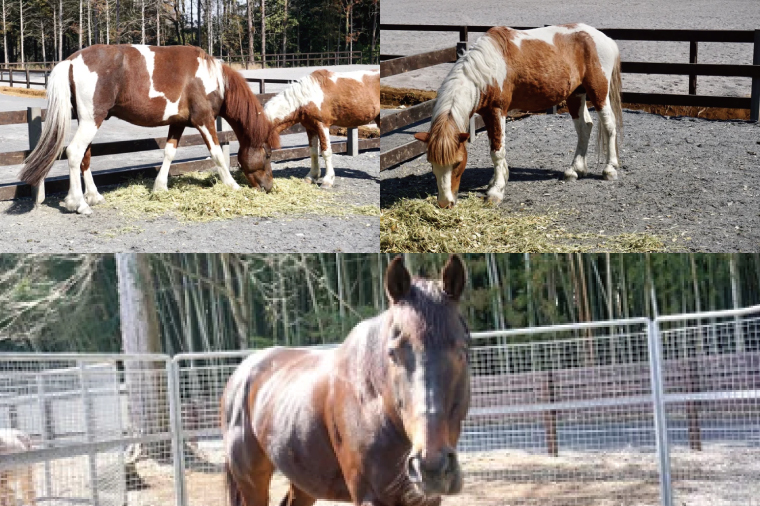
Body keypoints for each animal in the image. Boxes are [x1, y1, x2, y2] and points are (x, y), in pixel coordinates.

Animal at [19, 44, 280, 215]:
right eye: (267, 154)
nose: (269, 188)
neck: (212, 78)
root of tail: (72, 60)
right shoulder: (203, 119)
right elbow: (216, 153)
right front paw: (232, 185)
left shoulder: (178, 122)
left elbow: (169, 153)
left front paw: (160, 187)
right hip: (91, 120)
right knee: (74, 153)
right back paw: (79, 204)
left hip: (89, 120)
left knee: (85, 157)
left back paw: (93, 197)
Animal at [221, 255, 471, 506]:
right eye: (392, 353)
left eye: (462, 350)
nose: (431, 468)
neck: (374, 404)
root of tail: (241, 374)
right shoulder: (368, 495)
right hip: (252, 482)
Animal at [414, 24, 623, 208]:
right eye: (431, 163)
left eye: (457, 163)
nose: (445, 203)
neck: (486, 69)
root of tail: (603, 38)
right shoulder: (487, 114)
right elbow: (495, 147)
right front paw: (496, 181)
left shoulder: (498, 111)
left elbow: (497, 151)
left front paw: (496, 191)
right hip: (576, 94)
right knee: (584, 128)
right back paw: (575, 170)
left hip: (598, 92)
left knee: (609, 125)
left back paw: (610, 169)